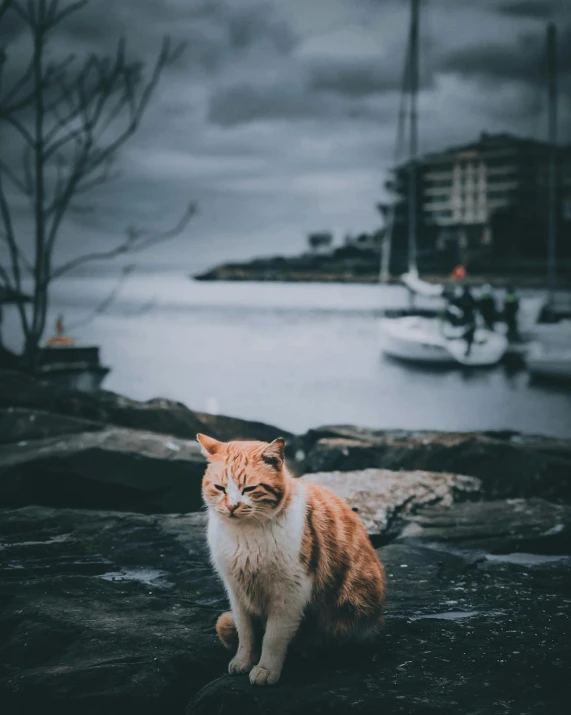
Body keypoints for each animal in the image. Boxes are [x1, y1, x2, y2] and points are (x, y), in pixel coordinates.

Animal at [198, 434, 388, 684]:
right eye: (220, 488)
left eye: (249, 489)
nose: (232, 506)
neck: (244, 533)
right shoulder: (236, 591)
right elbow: (246, 633)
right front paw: (243, 660)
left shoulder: (291, 591)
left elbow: (273, 637)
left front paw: (266, 668)